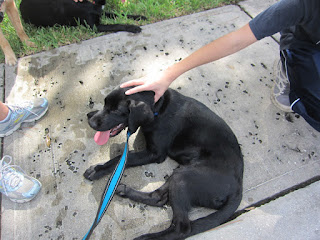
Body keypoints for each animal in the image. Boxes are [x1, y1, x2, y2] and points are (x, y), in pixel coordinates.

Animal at [85, 87, 242, 240]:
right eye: (105, 104)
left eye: (116, 111)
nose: (91, 123)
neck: (159, 109)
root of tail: (237, 188)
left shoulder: (155, 154)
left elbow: (121, 158)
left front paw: (97, 169)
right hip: (182, 172)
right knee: (158, 198)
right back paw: (124, 190)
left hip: (184, 177)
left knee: (182, 229)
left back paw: (147, 237)